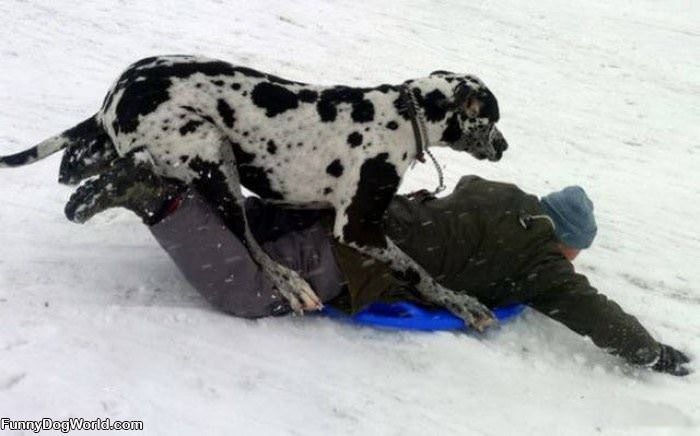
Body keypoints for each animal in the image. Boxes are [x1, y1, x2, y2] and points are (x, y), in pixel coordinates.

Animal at [0, 53, 506, 328]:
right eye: (492, 119)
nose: (504, 146)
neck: (404, 116)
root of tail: (115, 96)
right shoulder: (359, 228)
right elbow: (417, 269)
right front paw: (462, 304)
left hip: (118, 147)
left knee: (71, 165)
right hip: (213, 153)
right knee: (247, 242)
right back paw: (290, 282)